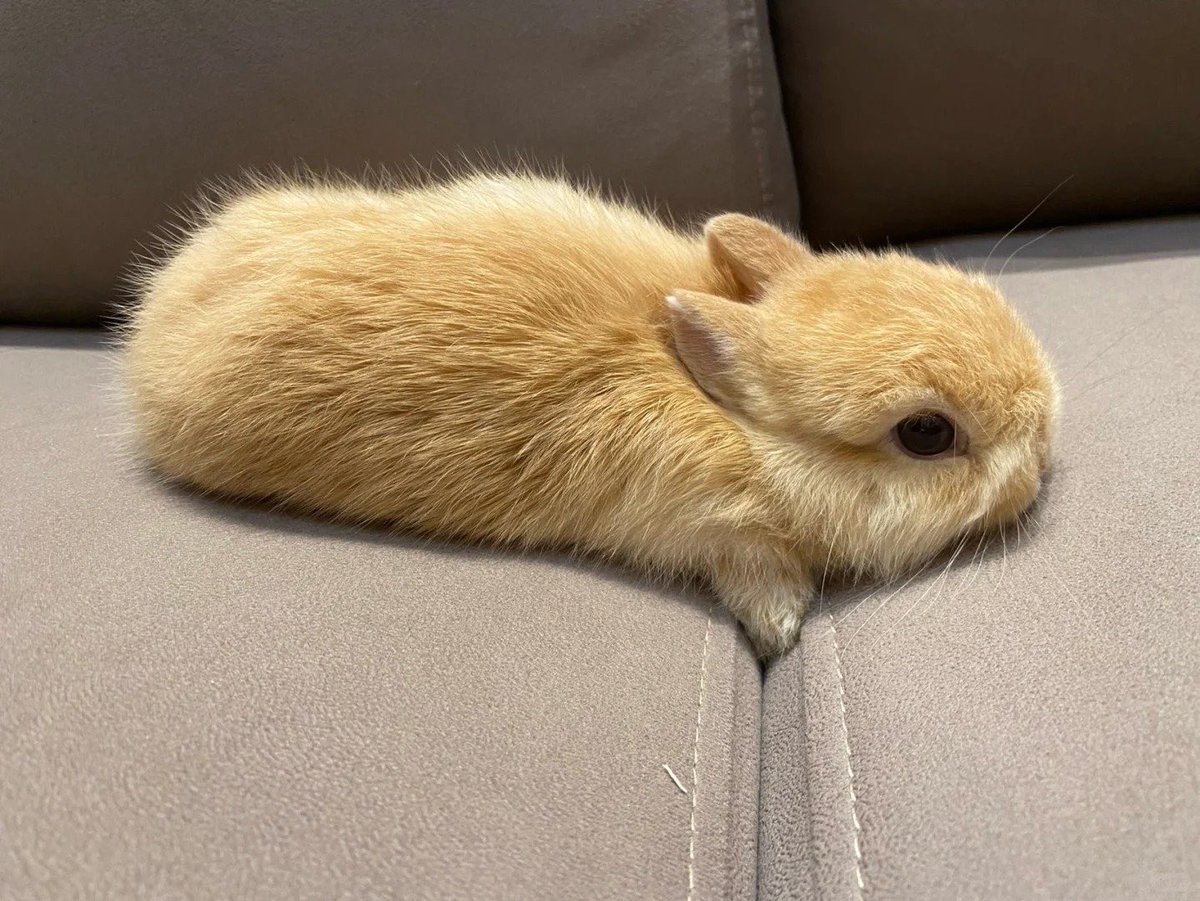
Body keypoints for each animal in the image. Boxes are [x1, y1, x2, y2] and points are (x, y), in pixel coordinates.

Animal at [123, 172, 1059, 657]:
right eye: (926, 433)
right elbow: (759, 577)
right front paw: (781, 632)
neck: (739, 434)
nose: (1045, 440)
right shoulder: (721, 532)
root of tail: (154, 319)